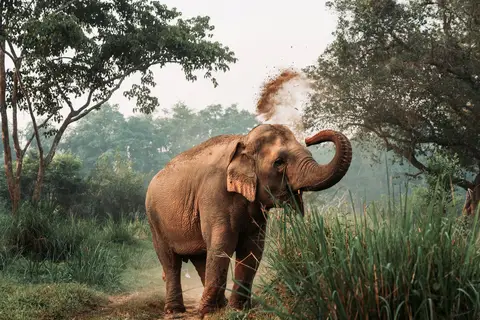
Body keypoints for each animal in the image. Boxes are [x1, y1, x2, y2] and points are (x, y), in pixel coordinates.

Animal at [144, 124, 350, 316]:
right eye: (279, 162)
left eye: (308, 152)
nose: (309, 139)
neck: (244, 141)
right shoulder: (214, 194)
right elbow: (223, 244)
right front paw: (208, 312)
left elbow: (252, 248)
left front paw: (237, 309)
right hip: (154, 221)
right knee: (170, 261)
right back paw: (176, 310)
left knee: (201, 258)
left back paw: (218, 305)